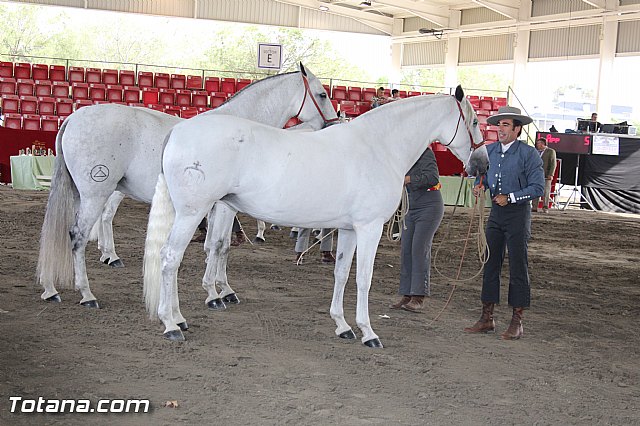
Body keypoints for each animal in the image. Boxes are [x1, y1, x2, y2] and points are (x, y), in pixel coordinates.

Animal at [36, 64, 337, 308]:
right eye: (322, 95)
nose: (332, 124)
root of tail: (73, 118)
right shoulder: (223, 207)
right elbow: (218, 245)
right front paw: (216, 293)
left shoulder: (221, 207)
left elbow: (219, 245)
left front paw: (222, 289)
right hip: (96, 193)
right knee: (78, 235)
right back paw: (87, 293)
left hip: (83, 194)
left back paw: (52, 288)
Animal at [142, 85, 489, 348]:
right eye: (474, 123)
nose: (483, 165)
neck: (379, 147)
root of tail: (178, 130)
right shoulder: (369, 228)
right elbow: (363, 279)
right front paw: (368, 332)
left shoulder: (349, 230)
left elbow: (341, 274)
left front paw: (343, 325)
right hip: (192, 212)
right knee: (170, 258)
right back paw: (171, 324)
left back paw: (180, 318)